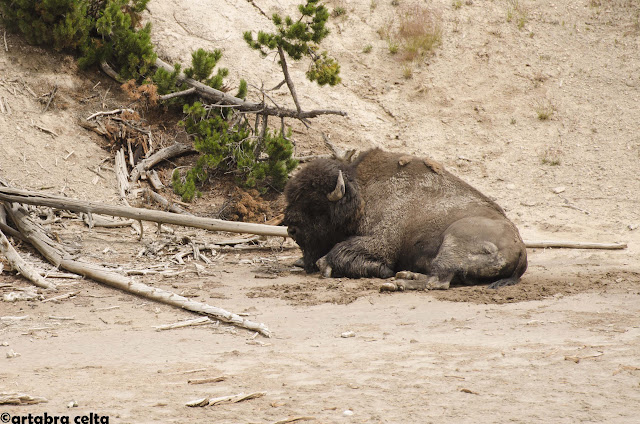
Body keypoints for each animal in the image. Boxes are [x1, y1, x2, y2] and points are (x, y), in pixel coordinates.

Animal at [282, 147, 528, 290]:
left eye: (315, 205)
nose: (291, 229)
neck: (363, 196)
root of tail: (521, 247)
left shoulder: (381, 244)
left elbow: (336, 254)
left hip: (454, 239)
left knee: (437, 281)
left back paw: (398, 281)